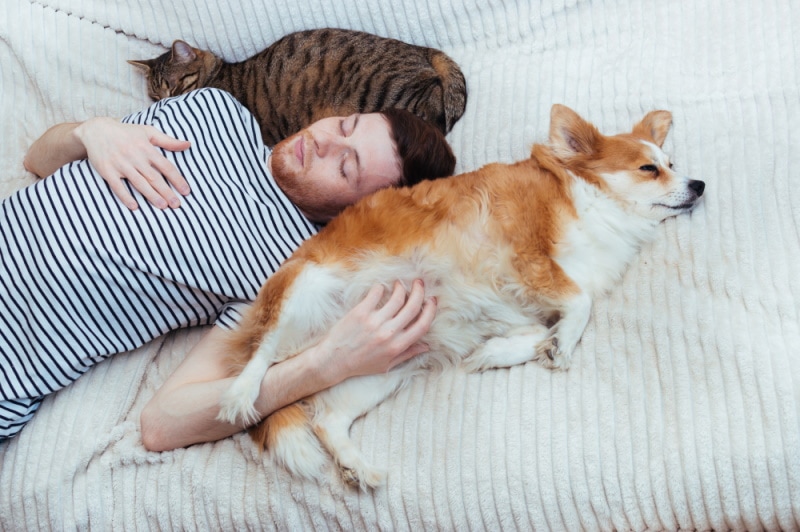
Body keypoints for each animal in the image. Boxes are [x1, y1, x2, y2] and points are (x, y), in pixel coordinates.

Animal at [130, 28, 468, 147]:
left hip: (385, 91)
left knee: (434, 106)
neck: (218, 74)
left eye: (175, 86)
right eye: (155, 95)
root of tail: (419, 48)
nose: (163, 101)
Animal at [216, 105, 704, 490]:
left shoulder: (511, 305)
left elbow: (535, 328)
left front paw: (496, 354)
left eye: (672, 162)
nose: (699, 184)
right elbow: (581, 301)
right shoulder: (527, 259)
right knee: (263, 353)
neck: (595, 207)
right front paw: (561, 346)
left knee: (327, 420)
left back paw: (358, 467)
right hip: (303, 290)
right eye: (649, 169)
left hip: (379, 363)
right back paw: (241, 392)